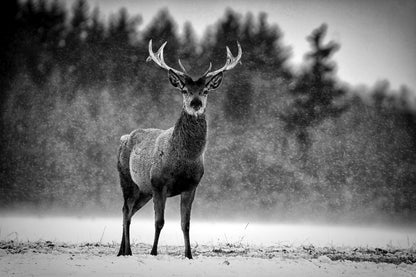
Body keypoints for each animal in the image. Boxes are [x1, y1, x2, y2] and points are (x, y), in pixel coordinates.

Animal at [115, 40, 242, 258]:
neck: (184, 159)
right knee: (125, 211)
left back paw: (122, 251)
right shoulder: (158, 183)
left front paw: (189, 255)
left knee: (130, 212)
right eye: (184, 90)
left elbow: (186, 224)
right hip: (127, 180)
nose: (196, 103)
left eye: (205, 91)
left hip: (143, 190)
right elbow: (159, 222)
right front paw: (153, 252)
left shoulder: (191, 186)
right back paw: (127, 251)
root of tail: (124, 137)